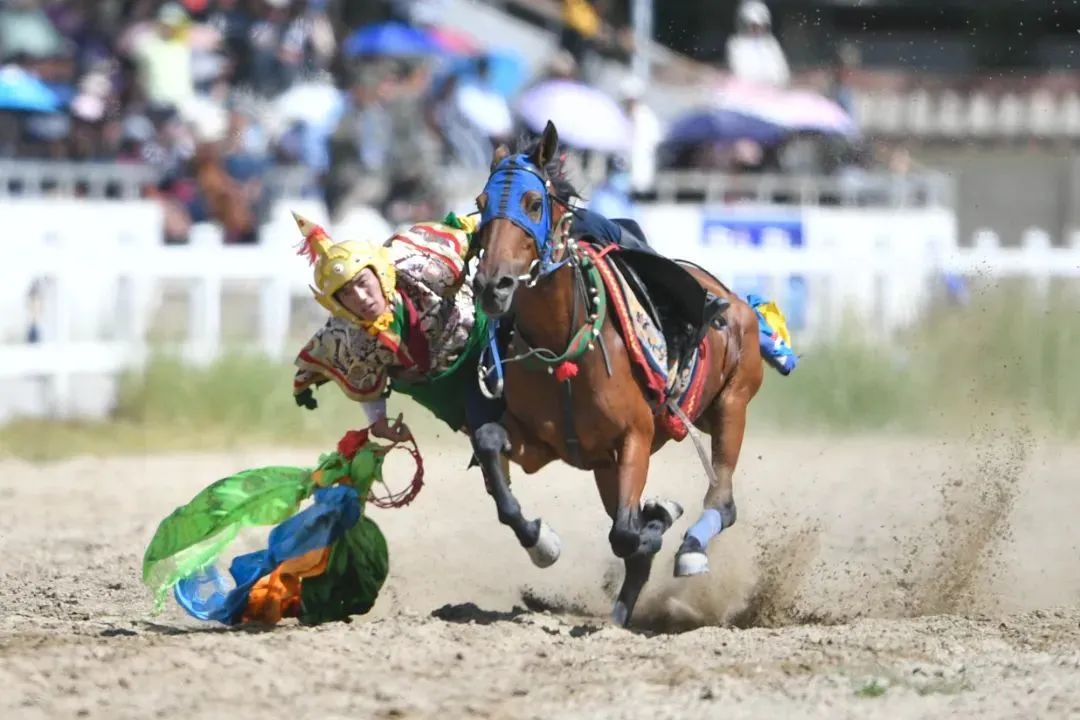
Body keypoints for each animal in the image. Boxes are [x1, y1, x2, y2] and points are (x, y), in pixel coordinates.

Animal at [470, 120, 768, 626]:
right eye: (480, 203)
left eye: (533, 203)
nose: (494, 285)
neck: (564, 344)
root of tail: (734, 298)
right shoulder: (540, 443)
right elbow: (489, 442)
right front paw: (542, 541)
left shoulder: (635, 437)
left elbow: (628, 534)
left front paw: (660, 515)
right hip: (614, 463)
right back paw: (618, 616)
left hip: (733, 404)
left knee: (722, 503)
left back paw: (689, 547)